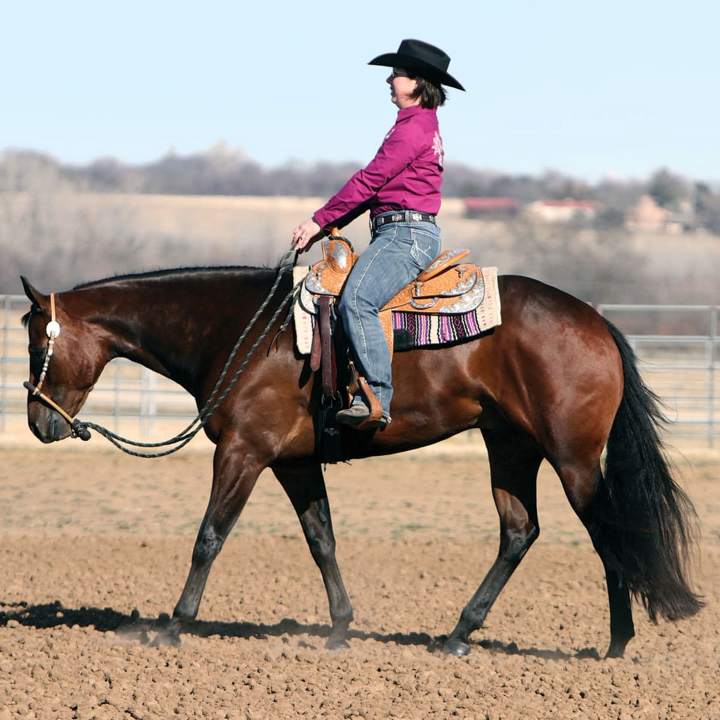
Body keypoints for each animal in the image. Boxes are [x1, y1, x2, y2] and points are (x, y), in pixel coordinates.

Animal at [21, 266, 704, 660]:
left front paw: (171, 628)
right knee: (519, 532)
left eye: (35, 340)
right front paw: (340, 630)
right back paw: (457, 637)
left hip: (572, 458)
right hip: (510, 446)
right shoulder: (293, 463)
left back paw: (616, 644)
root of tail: (598, 324)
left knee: (608, 531)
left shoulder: (243, 451)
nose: (38, 422)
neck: (240, 329)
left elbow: (209, 537)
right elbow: (321, 539)